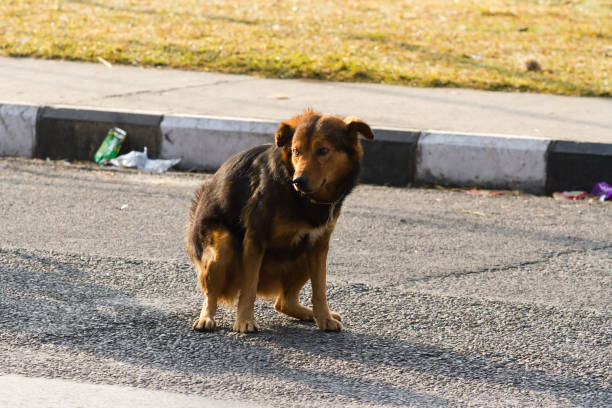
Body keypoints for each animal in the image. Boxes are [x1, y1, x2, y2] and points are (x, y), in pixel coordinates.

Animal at [186, 110, 372, 334]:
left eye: (323, 150)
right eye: (296, 151)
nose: (298, 181)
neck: (300, 197)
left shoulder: (319, 244)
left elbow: (320, 289)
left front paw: (324, 318)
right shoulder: (255, 239)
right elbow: (248, 288)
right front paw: (244, 321)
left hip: (303, 254)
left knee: (283, 302)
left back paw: (309, 314)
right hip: (222, 245)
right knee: (212, 293)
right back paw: (206, 318)